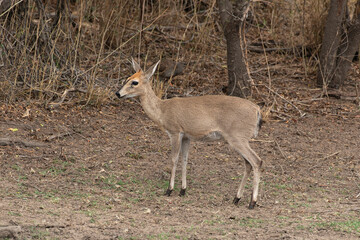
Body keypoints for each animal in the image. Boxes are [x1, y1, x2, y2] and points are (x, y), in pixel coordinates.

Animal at [116, 58, 262, 208]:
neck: (162, 111)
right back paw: (237, 198)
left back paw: (252, 202)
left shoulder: (175, 131)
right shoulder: (187, 136)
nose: (118, 94)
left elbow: (174, 159)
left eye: (134, 82)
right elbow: (185, 160)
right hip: (239, 139)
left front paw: (169, 189)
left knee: (257, 161)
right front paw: (182, 190)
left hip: (237, 137)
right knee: (248, 164)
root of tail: (257, 110)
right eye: (127, 79)